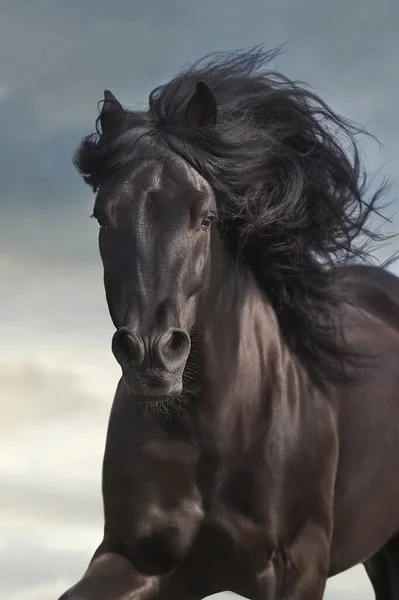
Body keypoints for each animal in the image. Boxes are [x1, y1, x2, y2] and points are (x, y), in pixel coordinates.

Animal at [57, 48, 399, 600]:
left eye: (206, 217)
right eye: (102, 217)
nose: (152, 355)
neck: (212, 433)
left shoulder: (298, 566)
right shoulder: (137, 559)